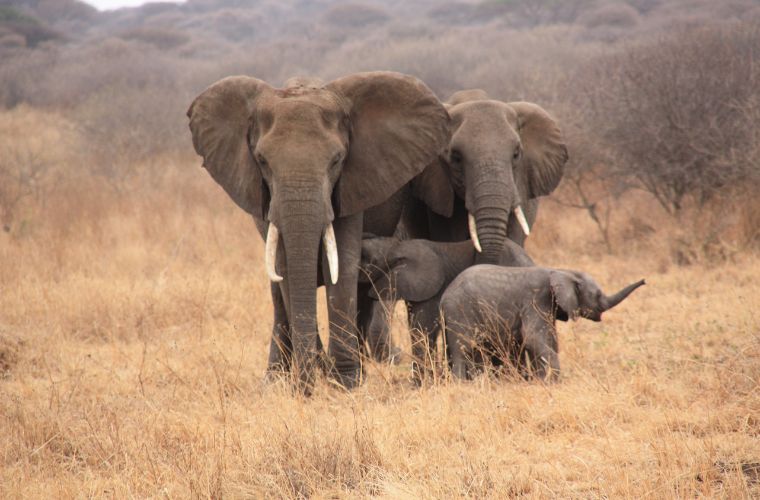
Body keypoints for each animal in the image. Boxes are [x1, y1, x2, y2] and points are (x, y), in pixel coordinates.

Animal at [187, 72, 450, 393]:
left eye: (337, 160)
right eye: (262, 161)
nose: (307, 385)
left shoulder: (351, 183)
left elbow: (344, 266)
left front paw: (346, 383)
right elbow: (286, 269)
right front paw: (314, 380)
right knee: (277, 294)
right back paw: (274, 381)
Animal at [360, 236, 534, 381]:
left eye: (369, 261)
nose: (397, 353)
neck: (395, 245)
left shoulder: (431, 289)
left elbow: (422, 329)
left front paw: (421, 384)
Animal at [440, 265, 645, 381]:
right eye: (598, 294)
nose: (644, 280)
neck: (563, 271)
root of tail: (444, 297)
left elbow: (548, 340)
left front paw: (540, 381)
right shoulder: (536, 300)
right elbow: (533, 338)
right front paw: (553, 382)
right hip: (460, 312)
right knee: (464, 348)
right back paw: (462, 384)